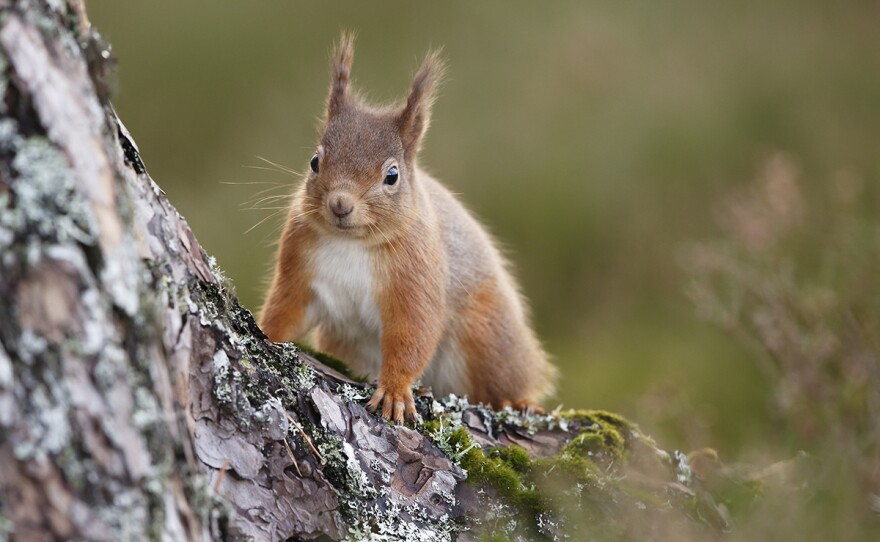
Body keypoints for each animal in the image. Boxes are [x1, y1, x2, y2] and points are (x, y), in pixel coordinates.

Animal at [258, 34, 552, 424]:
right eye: (314, 161)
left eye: (392, 175)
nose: (340, 203)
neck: (352, 242)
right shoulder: (299, 266)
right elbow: (285, 310)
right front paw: (263, 331)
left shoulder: (416, 278)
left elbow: (413, 334)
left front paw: (395, 391)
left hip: (487, 336)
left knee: (507, 380)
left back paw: (520, 401)